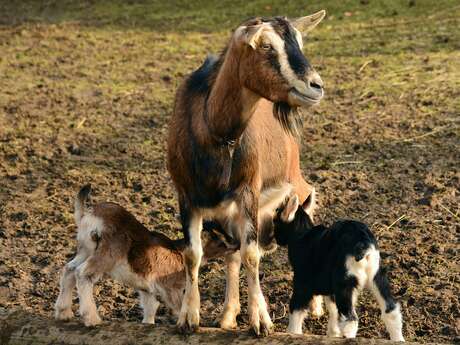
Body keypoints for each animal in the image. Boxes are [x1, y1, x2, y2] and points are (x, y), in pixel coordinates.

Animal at [167, 10, 326, 336]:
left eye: (300, 42)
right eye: (266, 46)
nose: (315, 86)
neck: (213, 131)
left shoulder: (248, 190)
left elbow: (251, 254)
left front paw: (261, 321)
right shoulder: (186, 196)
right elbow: (193, 255)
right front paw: (189, 317)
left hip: (294, 181)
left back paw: (315, 307)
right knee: (232, 254)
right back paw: (228, 314)